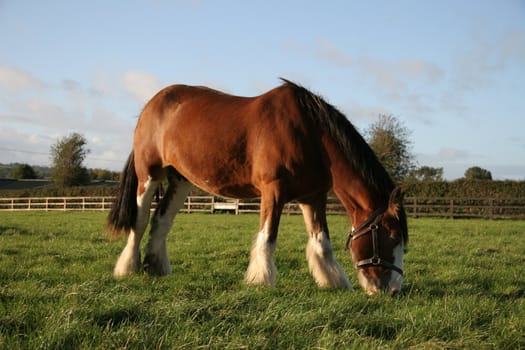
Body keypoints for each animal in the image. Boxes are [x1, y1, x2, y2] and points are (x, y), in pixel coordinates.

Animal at [106, 79, 408, 296]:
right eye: (392, 236)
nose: (392, 290)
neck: (310, 134)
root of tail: (153, 104)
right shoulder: (273, 190)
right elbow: (268, 237)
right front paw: (260, 280)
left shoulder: (313, 197)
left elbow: (321, 242)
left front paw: (333, 281)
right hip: (149, 174)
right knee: (140, 221)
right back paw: (128, 268)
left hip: (181, 181)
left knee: (161, 220)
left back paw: (156, 267)